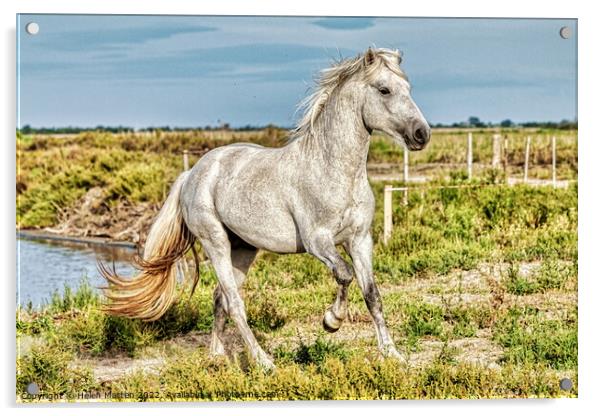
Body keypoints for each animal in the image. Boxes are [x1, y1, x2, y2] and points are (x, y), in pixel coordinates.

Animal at [104, 47, 432, 368]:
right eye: (384, 89)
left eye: (408, 87)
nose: (422, 134)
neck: (333, 169)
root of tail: (193, 173)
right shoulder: (318, 241)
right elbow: (344, 274)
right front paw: (331, 321)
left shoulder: (360, 240)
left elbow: (372, 294)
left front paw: (393, 354)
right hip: (216, 242)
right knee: (234, 302)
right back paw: (263, 362)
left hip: (243, 248)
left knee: (220, 298)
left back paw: (217, 357)